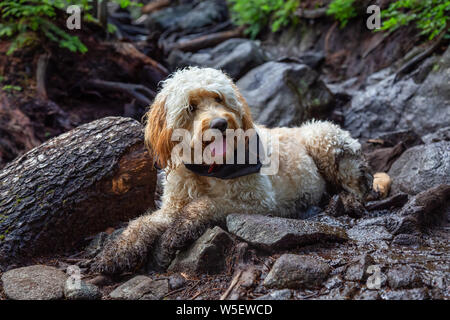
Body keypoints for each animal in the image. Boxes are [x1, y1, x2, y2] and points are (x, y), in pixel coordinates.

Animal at [92, 66, 372, 274]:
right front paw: (118, 250)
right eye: (190, 107)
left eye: (219, 98)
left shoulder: (259, 202)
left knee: (358, 184)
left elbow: (207, 204)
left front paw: (178, 231)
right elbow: (142, 223)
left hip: (323, 138)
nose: (219, 123)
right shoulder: (171, 206)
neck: (207, 169)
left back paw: (349, 201)